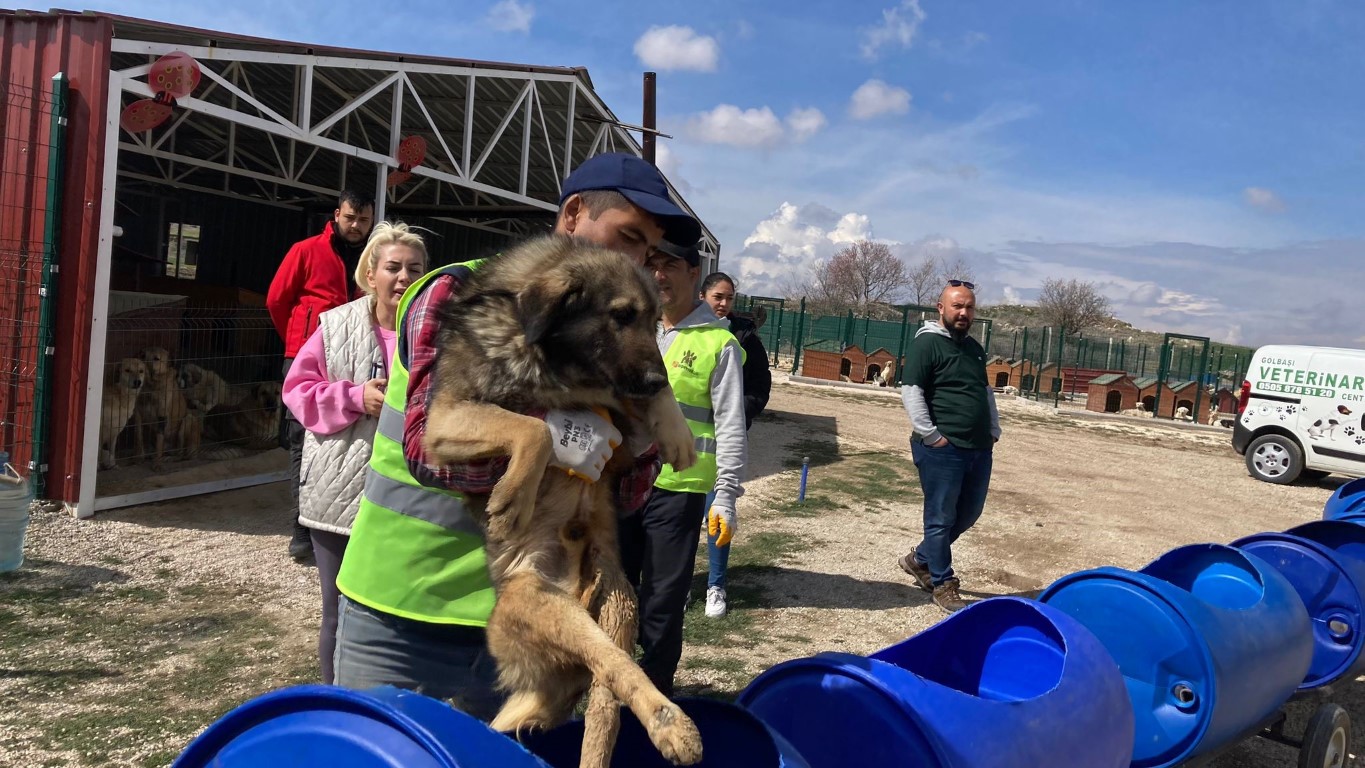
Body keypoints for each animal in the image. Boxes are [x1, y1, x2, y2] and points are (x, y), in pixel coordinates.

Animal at [423, 237, 704, 763]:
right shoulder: (442, 420)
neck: (557, 366)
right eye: (621, 315)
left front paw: (676, 431)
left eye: (654, 320)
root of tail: (577, 589)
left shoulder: (621, 412)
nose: (657, 377)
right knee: (599, 671)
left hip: (617, 610)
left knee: (610, 683)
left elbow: (649, 405)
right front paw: (512, 499)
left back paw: (670, 727)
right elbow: (532, 427)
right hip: (548, 611)